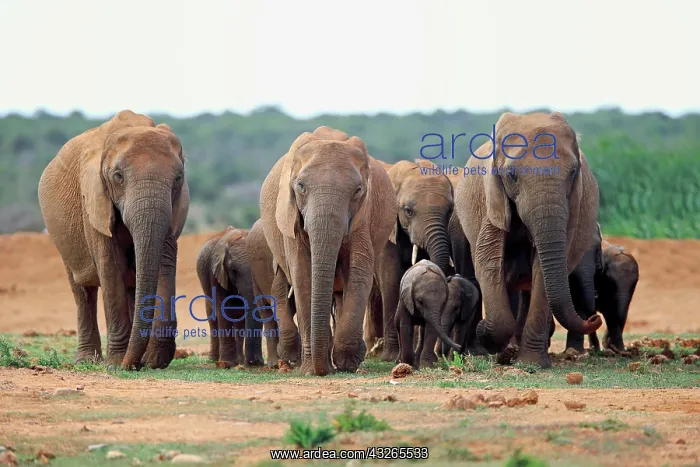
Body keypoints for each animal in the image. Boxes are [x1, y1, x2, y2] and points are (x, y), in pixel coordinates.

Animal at [38, 110, 189, 370]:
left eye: (179, 178)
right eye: (118, 177)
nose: (131, 366)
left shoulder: (174, 208)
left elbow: (164, 264)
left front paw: (153, 361)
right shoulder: (94, 199)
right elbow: (110, 268)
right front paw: (116, 364)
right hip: (62, 238)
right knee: (82, 291)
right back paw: (87, 360)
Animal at [196, 226, 265, 367]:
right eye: (234, 271)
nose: (255, 362)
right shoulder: (215, 273)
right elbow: (224, 310)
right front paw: (227, 363)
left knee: (239, 321)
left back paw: (240, 360)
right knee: (213, 317)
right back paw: (214, 359)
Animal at [259, 126, 396, 376]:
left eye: (358, 190)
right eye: (301, 186)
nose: (321, 371)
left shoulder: (363, 215)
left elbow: (359, 273)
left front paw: (347, 363)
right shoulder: (291, 219)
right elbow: (302, 275)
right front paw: (310, 370)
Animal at [454, 111, 602, 368]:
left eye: (573, 172)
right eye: (512, 176)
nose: (595, 318)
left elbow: (543, 270)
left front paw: (531, 364)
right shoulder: (493, 200)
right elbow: (488, 261)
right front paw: (489, 341)